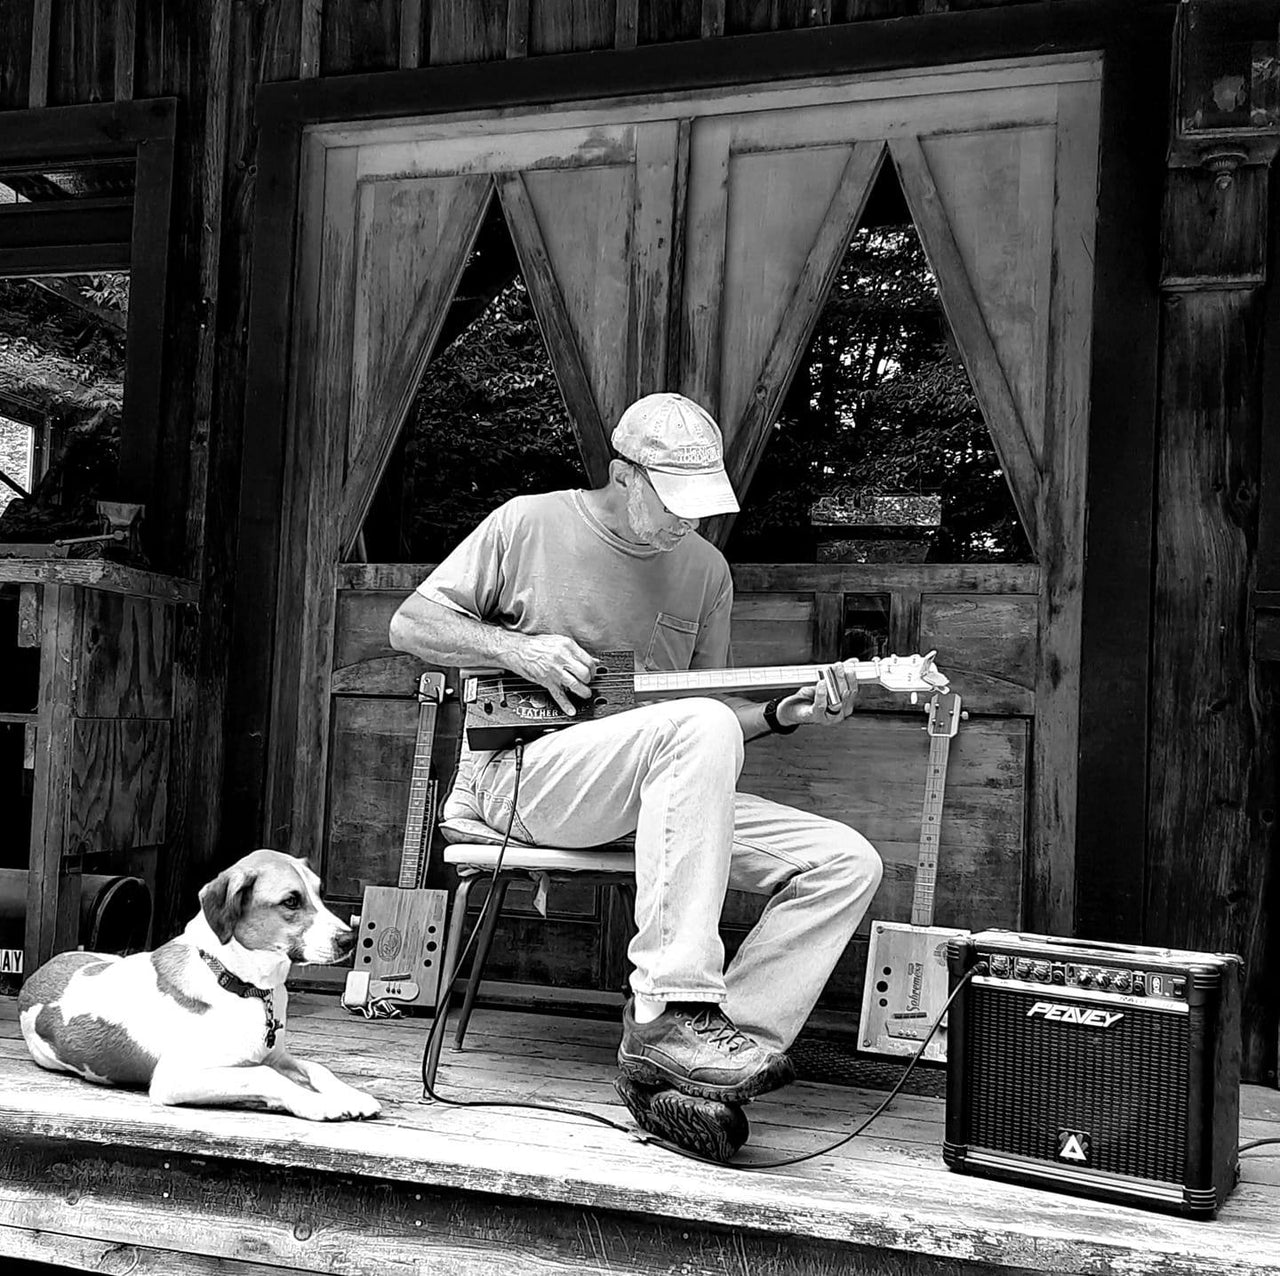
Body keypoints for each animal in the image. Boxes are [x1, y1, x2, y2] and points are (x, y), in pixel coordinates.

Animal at [17, 849, 378, 1121]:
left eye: (319, 893)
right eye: (291, 901)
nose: (350, 939)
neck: (243, 984)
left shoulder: (277, 1055)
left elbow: (317, 1067)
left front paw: (351, 1094)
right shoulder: (176, 1077)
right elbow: (262, 1074)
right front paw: (318, 1102)